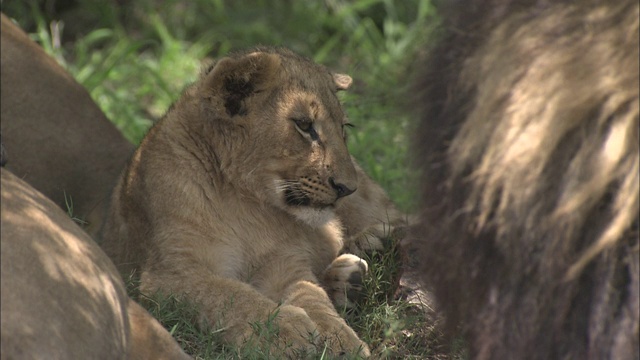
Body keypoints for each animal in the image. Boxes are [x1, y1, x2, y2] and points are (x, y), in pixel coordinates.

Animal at [104, 45, 404, 358]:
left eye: (344, 128)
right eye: (304, 125)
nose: (347, 188)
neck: (246, 201)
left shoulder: (284, 264)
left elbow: (312, 296)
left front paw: (342, 341)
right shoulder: (168, 273)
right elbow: (227, 295)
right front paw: (283, 329)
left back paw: (370, 247)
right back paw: (350, 277)